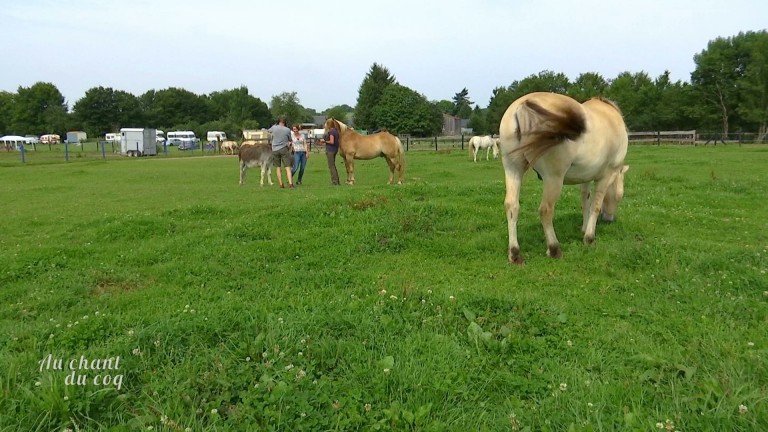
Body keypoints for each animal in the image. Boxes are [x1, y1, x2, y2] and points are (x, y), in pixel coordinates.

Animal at [498, 91, 632, 264]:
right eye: (619, 196)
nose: (609, 219)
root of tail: (524, 105)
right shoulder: (606, 176)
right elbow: (595, 206)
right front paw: (589, 238)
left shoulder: (585, 177)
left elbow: (585, 201)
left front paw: (584, 229)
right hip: (553, 179)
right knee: (545, 210)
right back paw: (554, 249)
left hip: (513, 169)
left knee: (512, 206)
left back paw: (515, 253)